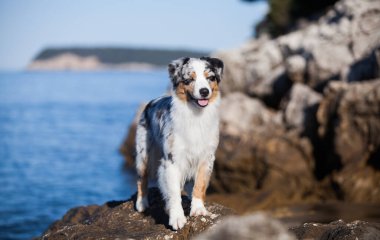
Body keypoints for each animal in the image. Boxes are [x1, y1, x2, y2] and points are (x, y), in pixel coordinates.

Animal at [134, 56, 223, 231]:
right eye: (189, 79)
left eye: (210, 78)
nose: (204, 91)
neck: (196, 116)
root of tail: (151, 103)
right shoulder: (172, 160)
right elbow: (174, 192)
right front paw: (176, 217)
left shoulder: (207, 157)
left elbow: (200, 185)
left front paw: (198, 209)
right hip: (143, 154)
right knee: (142, 178)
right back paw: (142, 203)